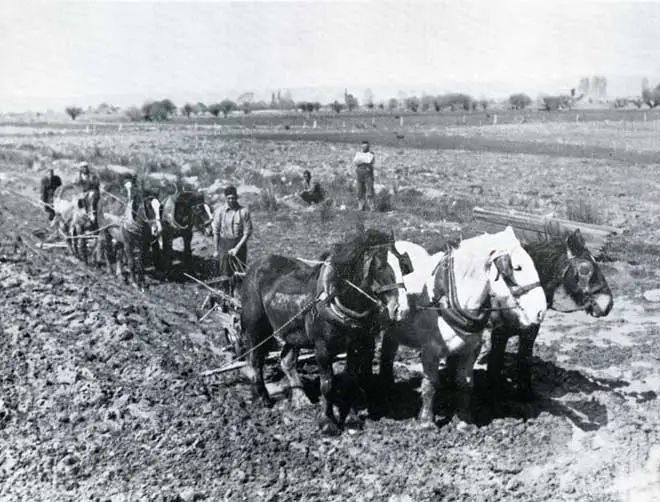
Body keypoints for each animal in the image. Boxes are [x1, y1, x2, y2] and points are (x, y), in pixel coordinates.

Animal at [240, 227, 410, 436]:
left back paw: (300, 398)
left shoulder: (357, 346)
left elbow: (350, 381)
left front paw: (351, 419)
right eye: (379, 267)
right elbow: (327, 385)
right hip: (255, 328)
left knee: (286, 360)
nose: (401, 309)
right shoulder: (322, 348)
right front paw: (327, 422)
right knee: (255, 360)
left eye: (403, 265)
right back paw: (262, 398)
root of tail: (256, 264)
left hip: (292, 332)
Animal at [378, 227, 544, 428]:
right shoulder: (430, 351)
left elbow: (465, 383)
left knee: (388, 351)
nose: (541, 311)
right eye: (517, 267)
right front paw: (426, 421)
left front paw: (464, 421)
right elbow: (430, 384)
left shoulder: (471, 350)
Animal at [484, 227, 620, 400]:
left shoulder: (530, 333)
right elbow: (495, 364)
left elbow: (524, 359)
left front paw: (525, 394)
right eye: (585, 270)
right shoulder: (499, 333)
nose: (608, 304)